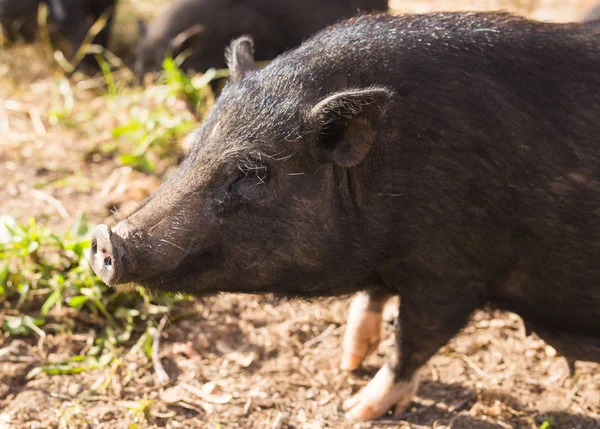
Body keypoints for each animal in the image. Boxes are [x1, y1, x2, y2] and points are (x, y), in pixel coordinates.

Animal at [89, 11, 600, 420]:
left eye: (252, 173)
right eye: (192, 149)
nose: (105, 238)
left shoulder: (454, 272)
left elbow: (413, 340)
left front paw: (353, 409)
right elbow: (374, 301)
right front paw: (348, 360)